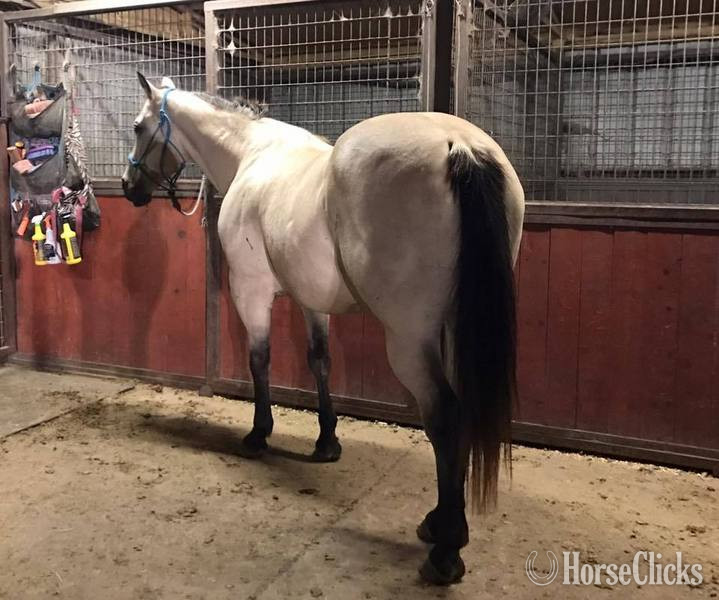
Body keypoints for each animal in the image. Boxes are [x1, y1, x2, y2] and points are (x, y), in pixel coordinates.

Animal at [121, 73, 525, 585]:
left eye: (139, 127)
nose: (129, 187)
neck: (252, 153)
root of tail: (461, 146)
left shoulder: (251, 290)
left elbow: (259, 359)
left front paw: (259, 434)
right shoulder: (312, 301)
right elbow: (319, 362)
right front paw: (327, 441)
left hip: (410, 338)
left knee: (444, 416)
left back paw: (446, 548)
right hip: (455, 329)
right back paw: (439, 522)